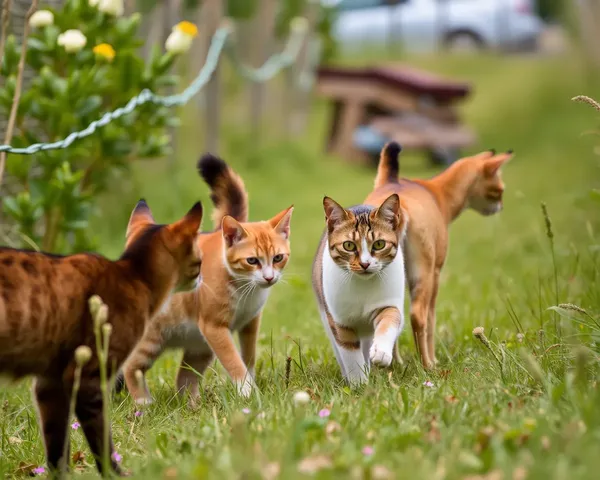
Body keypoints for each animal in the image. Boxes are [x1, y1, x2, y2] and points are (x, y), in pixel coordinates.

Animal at [0, 200, 204, 476]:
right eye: (199, 261)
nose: (201, 278)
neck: (133, 275)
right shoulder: (86, 377)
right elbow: (102, 440)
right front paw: (117, 473)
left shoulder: (49, 383)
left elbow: (57, 445)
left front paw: (61, 475)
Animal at [118, 154, 294, 402]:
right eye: (252, 261)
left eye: (278, 257)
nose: (268, 278)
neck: (244, 289)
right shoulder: (215, 327)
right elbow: (234, 362)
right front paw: (247, 392)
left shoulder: (250, 322)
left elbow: (248, 358)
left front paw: (251, 386)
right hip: (153, 338)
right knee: (131, 366)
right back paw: (144, 402)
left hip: (199, 346)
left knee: (184, 378)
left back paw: (192, 404)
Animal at [314, 193, 408, 384]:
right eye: (349, 245)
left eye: (379, 244)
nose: (365, 264)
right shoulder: (340, 322)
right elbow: (350, 354)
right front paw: (359, 384)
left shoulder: (388, 304)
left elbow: (389, 319)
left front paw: (381, 352)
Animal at [368, 142, 512, 368]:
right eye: (500, 189)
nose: (501, 206)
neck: (436, 193)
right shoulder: (436, 273)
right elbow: (431, 318)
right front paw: (433, 358)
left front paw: (396, 361)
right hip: (424, 273)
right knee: (418, 315)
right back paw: (427, 364)